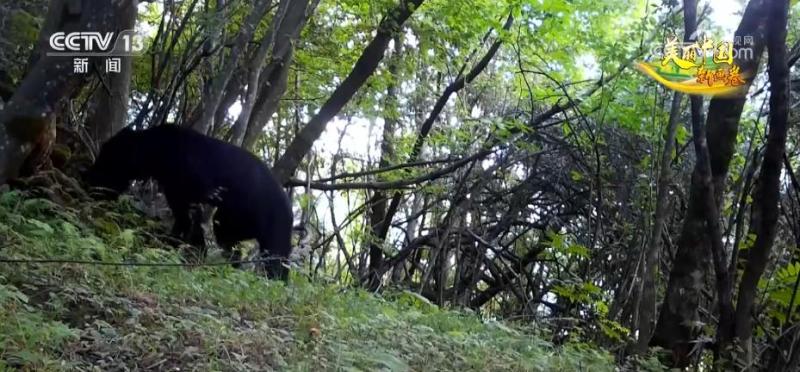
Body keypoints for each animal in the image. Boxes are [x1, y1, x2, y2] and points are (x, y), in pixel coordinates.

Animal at [83, 125, 294, 280]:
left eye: (109, 155)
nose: (89, 174)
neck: (156, 149)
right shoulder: (181, 194)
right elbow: (191, 223)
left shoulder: (183, 190)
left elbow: (185, 219)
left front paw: (172, 242)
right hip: (230, 224)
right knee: (235, 249)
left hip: (273, 234)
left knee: (277, 265)